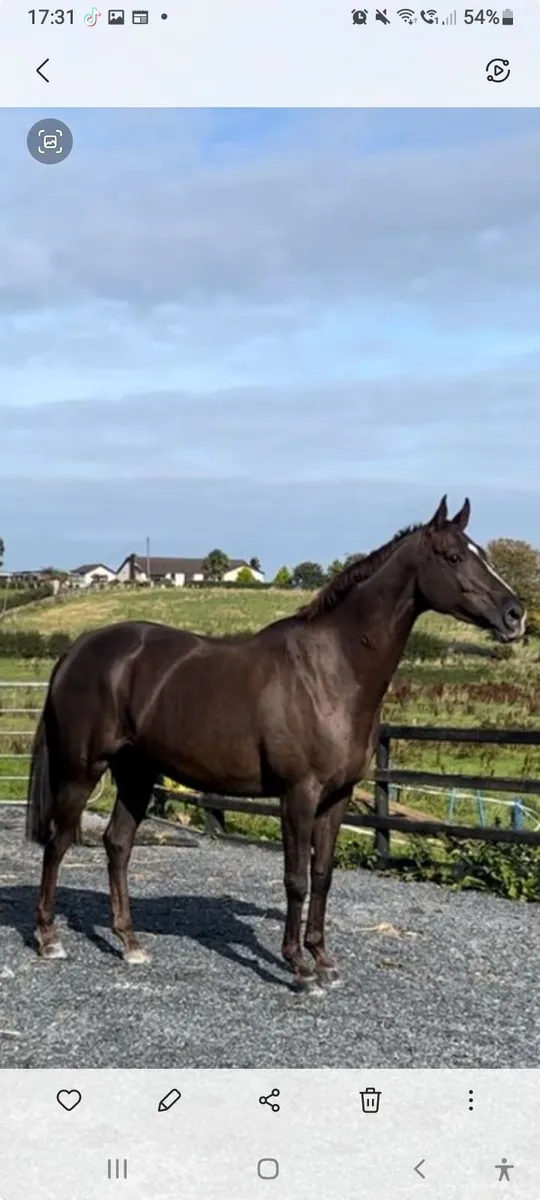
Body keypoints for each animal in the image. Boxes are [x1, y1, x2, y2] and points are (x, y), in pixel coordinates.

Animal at [26, 495, 525, 990]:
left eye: (483, 553)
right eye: (454, 556)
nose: (515, 615)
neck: (330, 671)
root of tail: (78, 650)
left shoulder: (337, 797)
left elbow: (322, 875)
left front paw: (323, 960)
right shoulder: (298, 794)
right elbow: (296, 878)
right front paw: (298, 966)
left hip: (136, 772)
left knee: (117, 844)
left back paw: (130, 943)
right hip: (81, 770)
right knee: (58, 840)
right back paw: (49, 938)